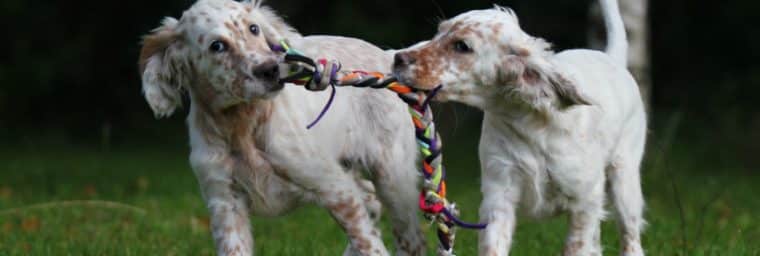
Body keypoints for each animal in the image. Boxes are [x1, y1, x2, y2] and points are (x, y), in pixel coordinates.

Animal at [139, 1, 424, 255]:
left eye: (254, 28)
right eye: (216, 46)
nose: (271, 69)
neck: (242, 124)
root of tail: (387, 56)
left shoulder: (333, 186)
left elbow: (368, 243)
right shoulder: (224, 201)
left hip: (393, 177)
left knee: (409, 239)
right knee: (371, 200)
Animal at [392, 0, 648, 256]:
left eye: (462, 46)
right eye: (438, 31)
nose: (398, 58)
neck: (529, 124)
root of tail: (611, 58)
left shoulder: (584, 200)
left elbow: (576, 245)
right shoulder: (498, 196)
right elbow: (493, 246)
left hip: (624, 181)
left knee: (630, 235)